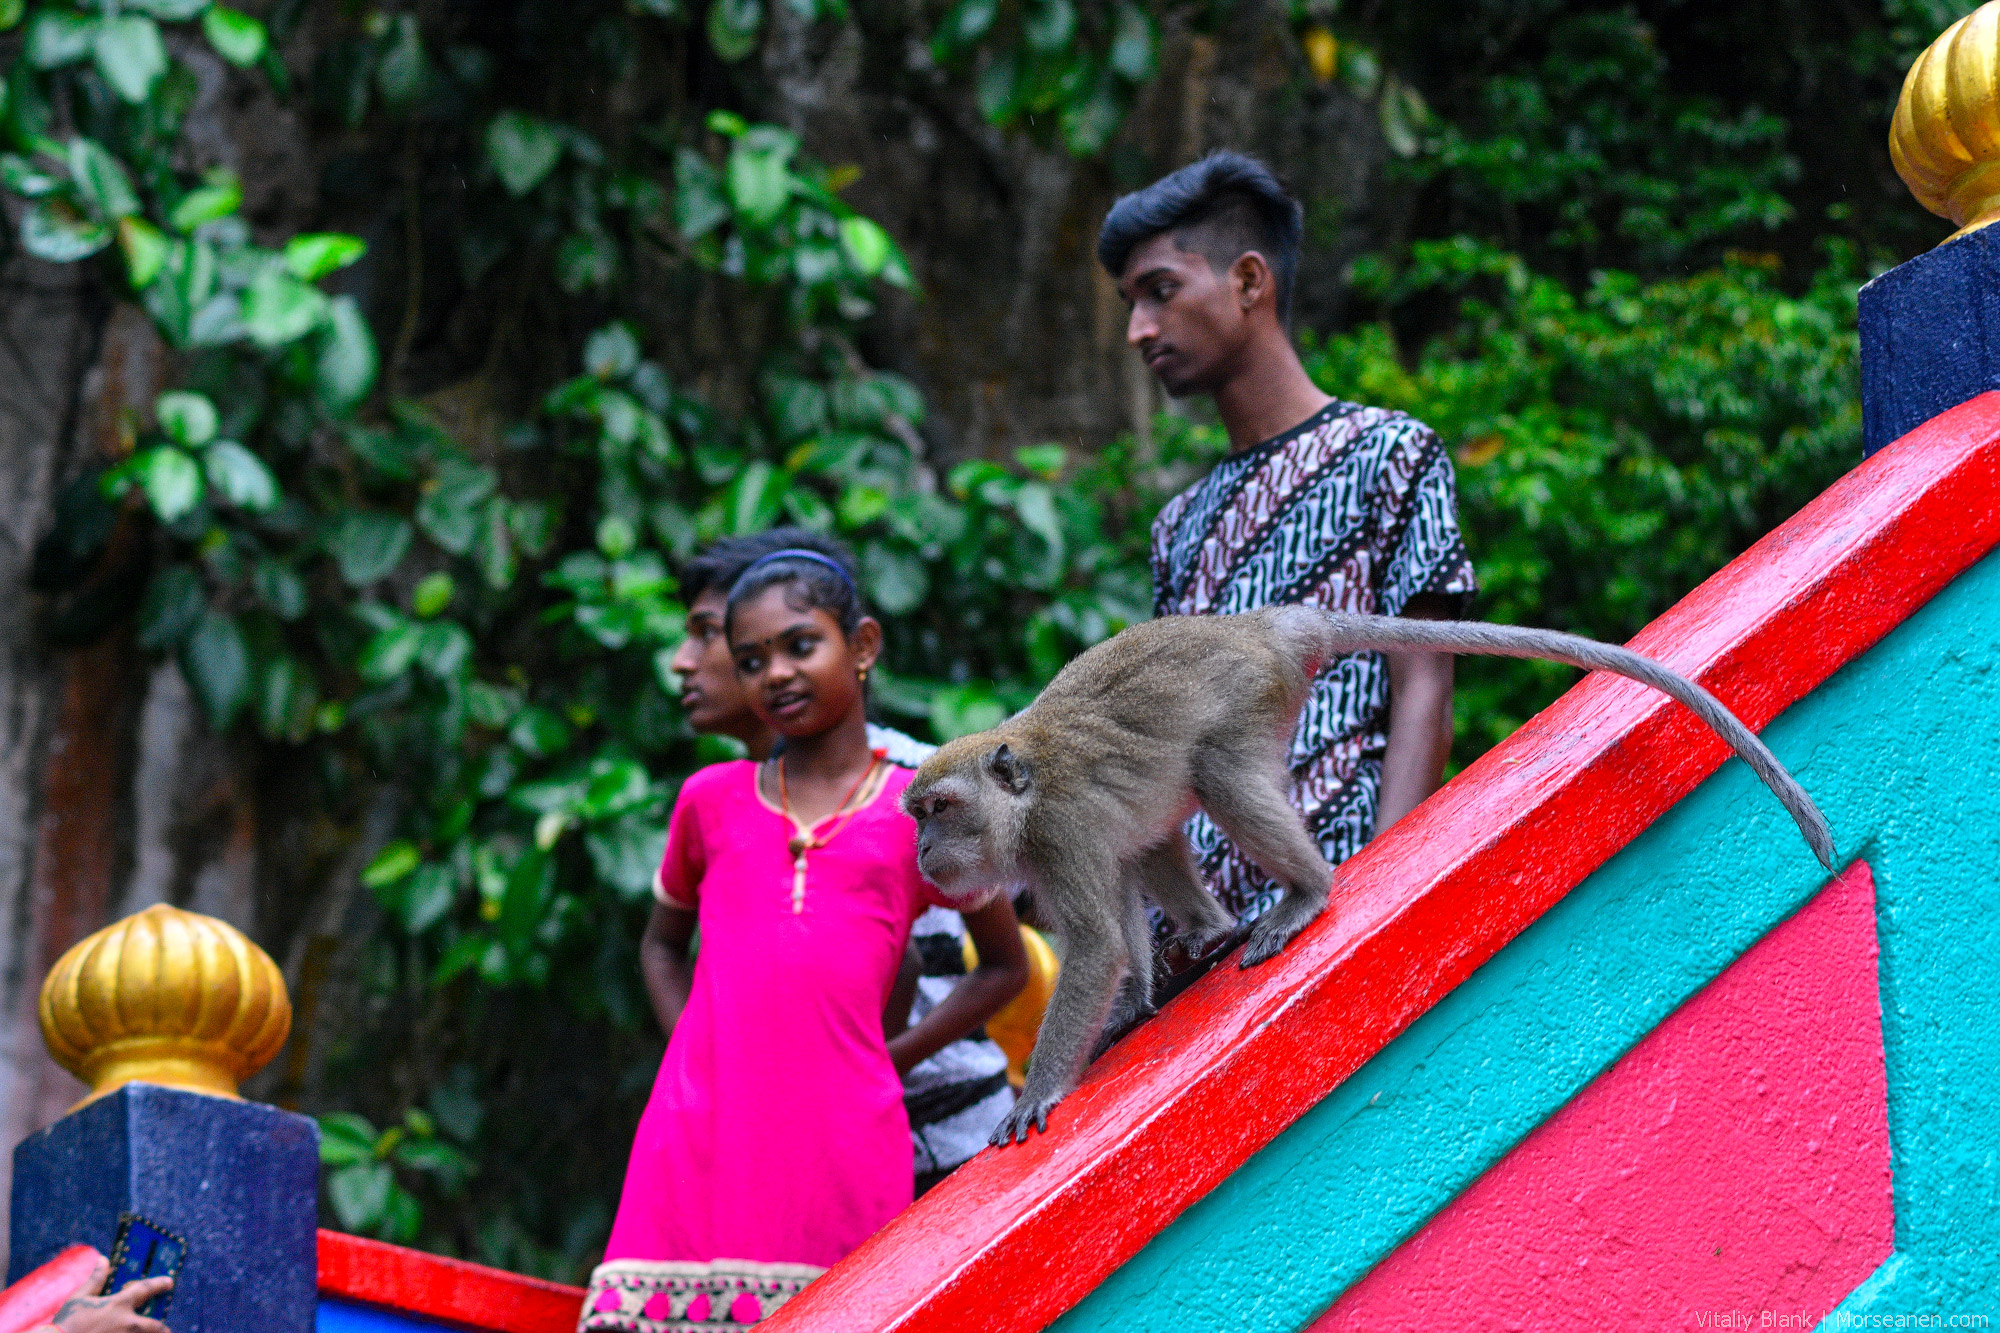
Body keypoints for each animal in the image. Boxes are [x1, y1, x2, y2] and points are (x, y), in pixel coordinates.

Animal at [904, 608, 1832, 1136]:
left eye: (937, 807)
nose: (918, 853)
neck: (1021, 796)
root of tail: (1262, 625)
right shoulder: (1059, 843)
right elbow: (1124, 883)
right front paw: (1136, 999)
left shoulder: (1056, 834)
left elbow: (1096, 944)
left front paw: (1040, 1091)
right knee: (1160, 827)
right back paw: (1208, 932)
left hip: (1251, 696)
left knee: (1216, 772)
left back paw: (1305, 894)